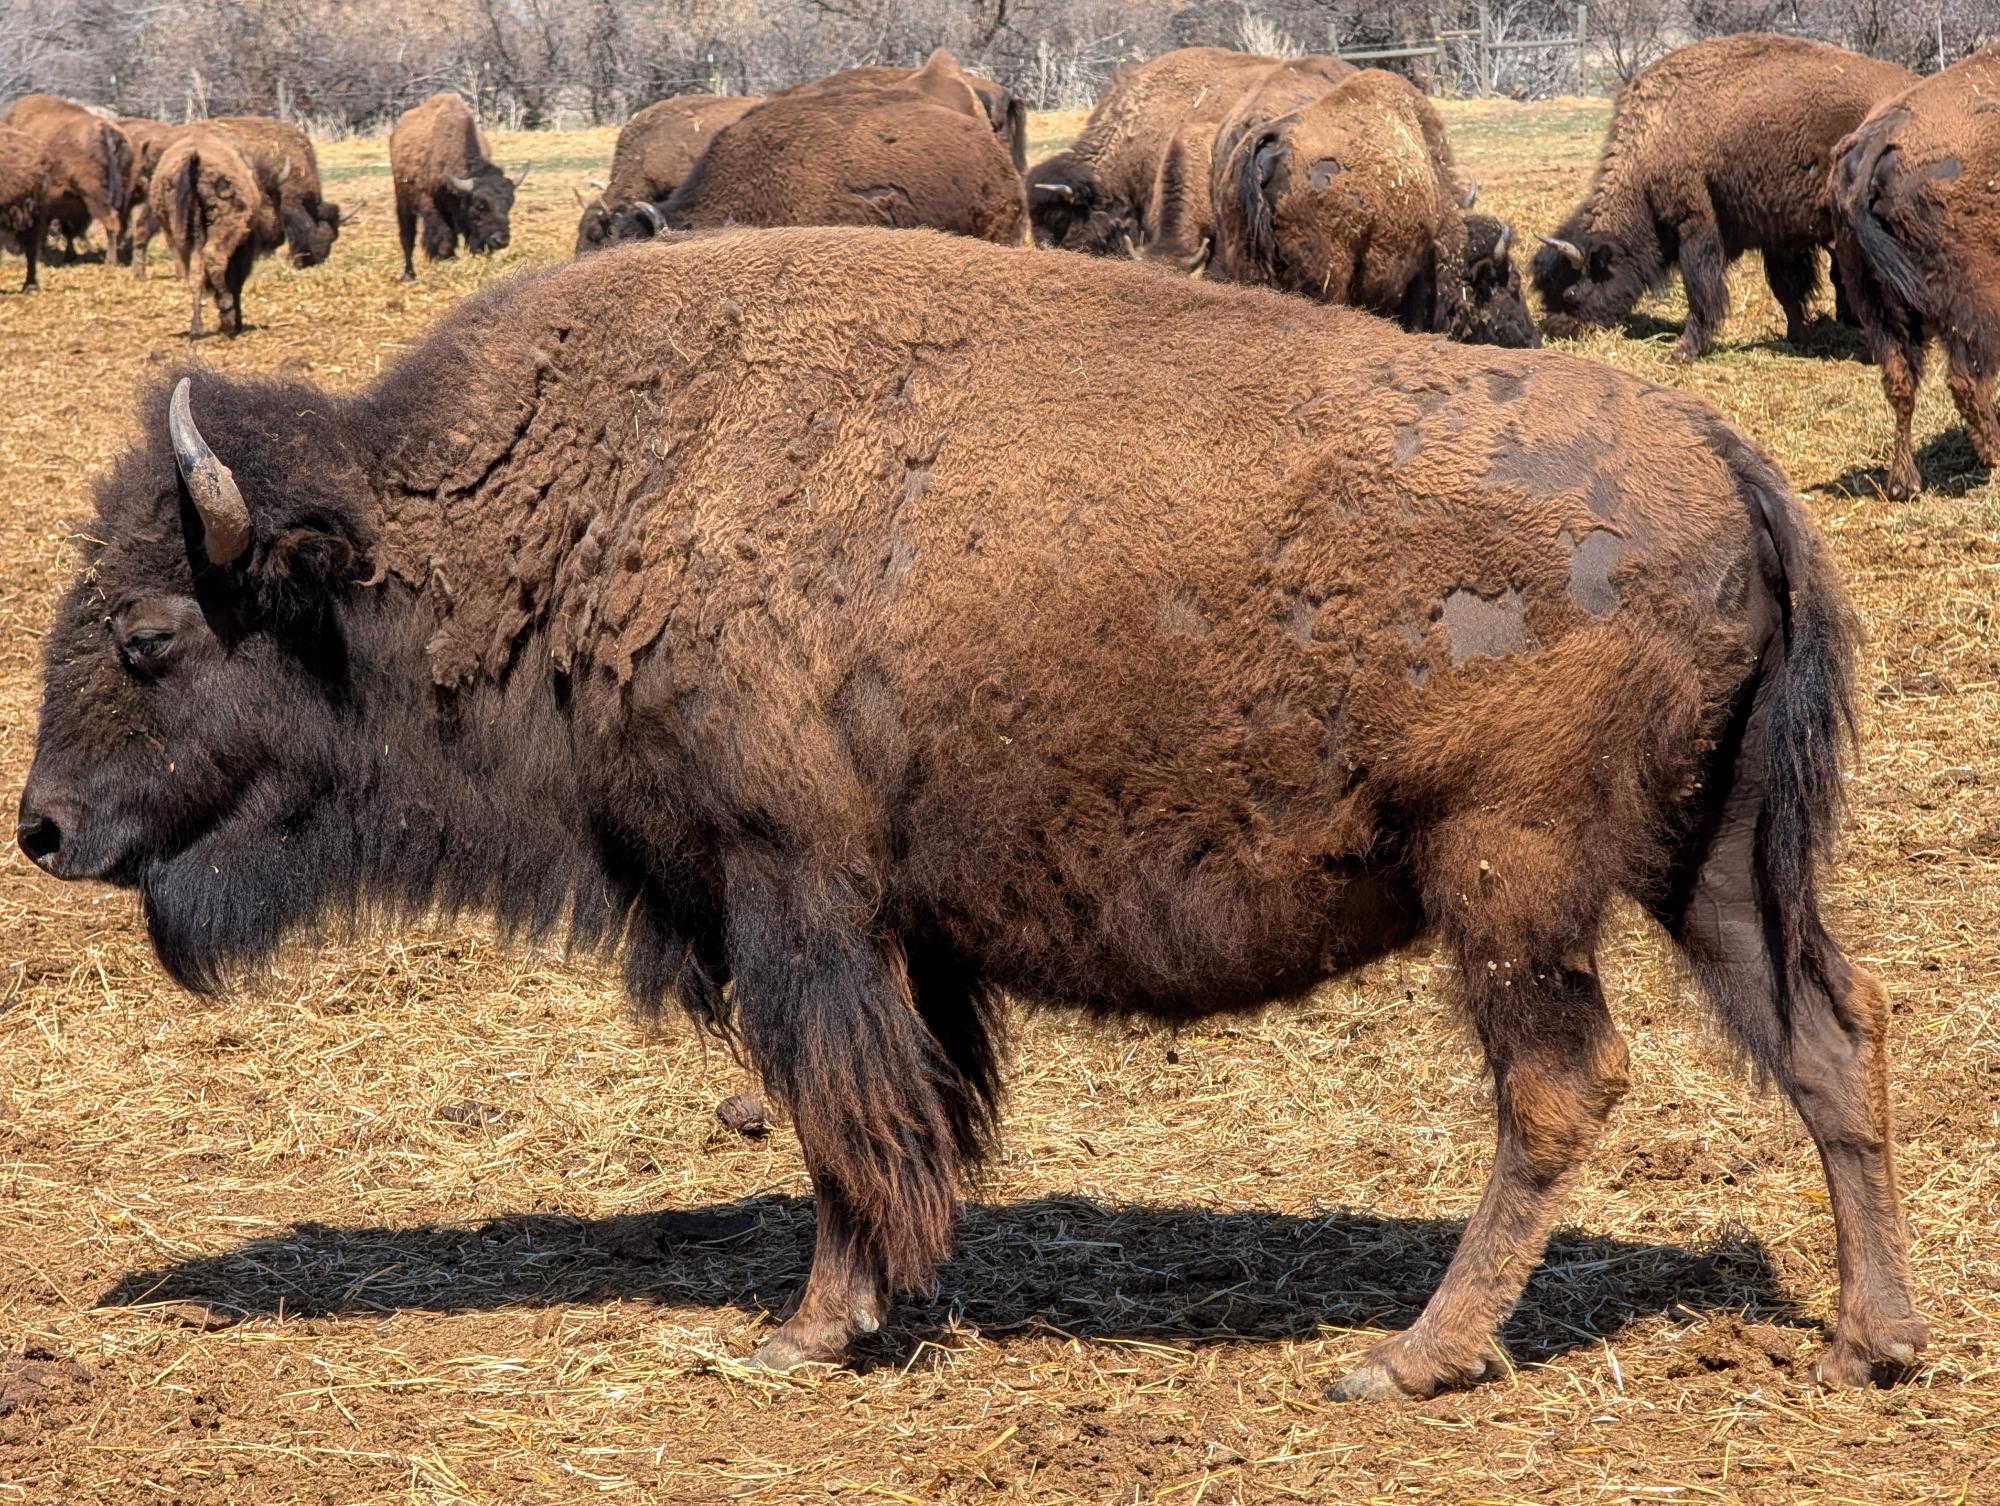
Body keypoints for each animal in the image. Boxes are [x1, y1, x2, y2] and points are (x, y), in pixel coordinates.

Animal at [18, 227, 1922, 1399]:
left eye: (152, 629)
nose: (39, 826)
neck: (565, 497)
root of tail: (1719, 454)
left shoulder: (793, 899)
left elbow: (839, 1116)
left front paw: (814, 1328)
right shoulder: (893, 935)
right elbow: (911, 1106)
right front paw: (882, 1301)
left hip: (1509, 877)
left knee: (1558, 1085)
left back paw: (1407, 1357)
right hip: (1708, 867)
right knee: (1831, 1037)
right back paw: (1869, 1344)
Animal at [389, 92, 523, 280]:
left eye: (509, 204)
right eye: (480, 205)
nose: (501, 240)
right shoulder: (431, 205)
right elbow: (442, 235)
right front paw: (447, 258)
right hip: (403, 202)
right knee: (407, 238)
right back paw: (409, 275)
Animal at [1531, 35, 1913, 359]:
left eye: (1571, 292)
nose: (1556, 329)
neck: (1655, 137)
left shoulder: (1697, 225)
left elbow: (1702, 291)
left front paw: (1684, 351)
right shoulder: (1778, 236)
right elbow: (1787, 289)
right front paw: (1798, 337)